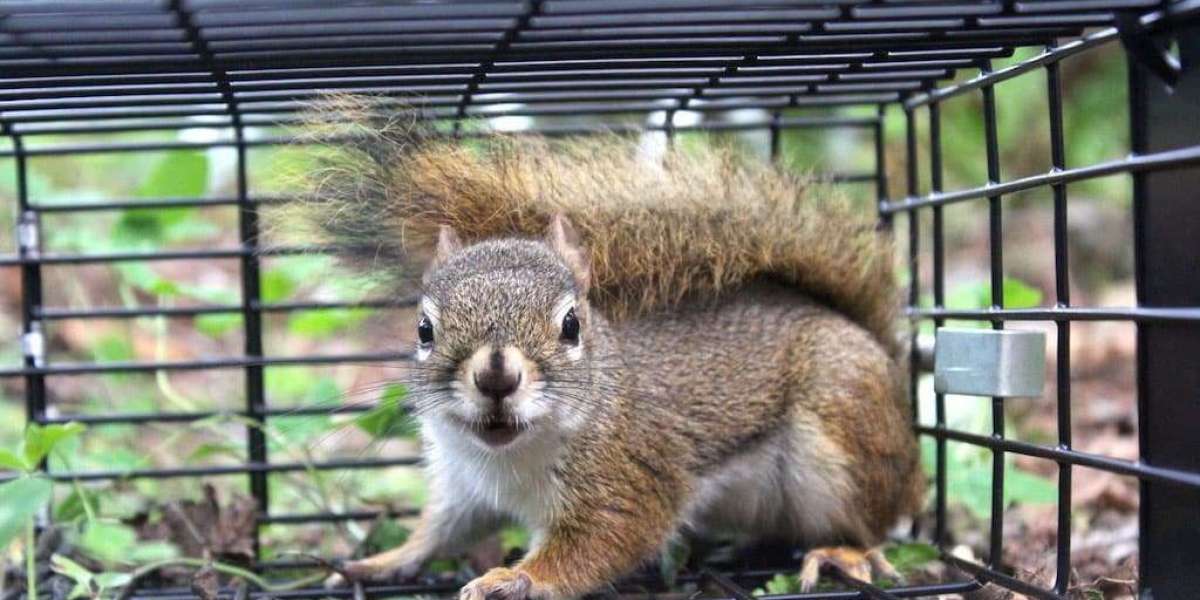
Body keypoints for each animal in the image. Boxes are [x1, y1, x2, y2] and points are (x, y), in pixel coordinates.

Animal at [296, 95, 924, 599]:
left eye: (572, 325)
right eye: (424, 330)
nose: (496, 377)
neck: (509, 460)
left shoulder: (629, 478)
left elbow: (603, 541)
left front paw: (515, 578)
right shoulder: (462, 484)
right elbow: (442, 530)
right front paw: (382, 560)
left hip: (844, 434)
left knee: (871, 524)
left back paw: (842, 552)